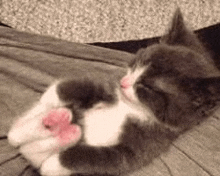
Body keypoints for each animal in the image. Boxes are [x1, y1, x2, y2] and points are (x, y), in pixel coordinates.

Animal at [7, 9, 220, 176]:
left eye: (148, 87)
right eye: (137, 61)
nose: (124, 83)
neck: (131, 108)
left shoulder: (143, 147)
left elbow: (102, 158)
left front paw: (53, 164)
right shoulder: (110, 89)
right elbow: (87, 86)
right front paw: (52, 96)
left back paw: (64, 130)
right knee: (14, 135)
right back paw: (55, 118)